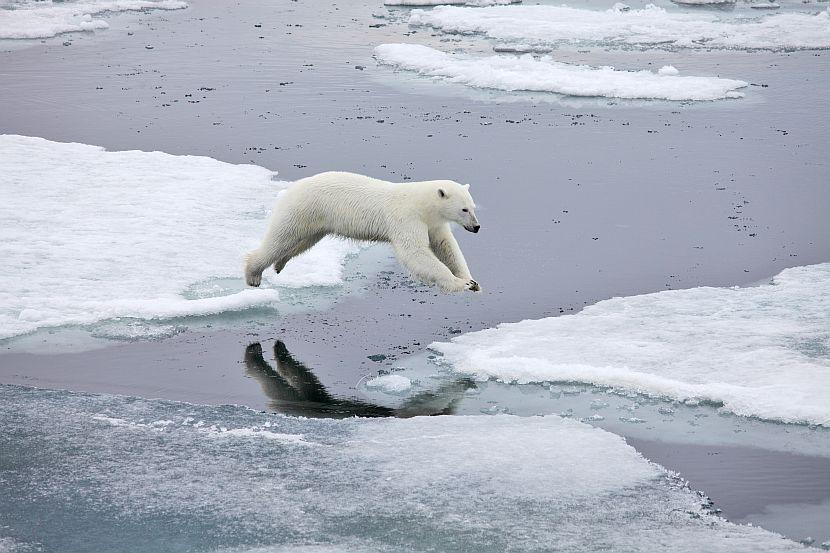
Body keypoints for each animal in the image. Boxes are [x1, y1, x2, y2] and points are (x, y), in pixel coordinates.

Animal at [245, 171, 480, 294]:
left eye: (473, 206)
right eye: (464, 209)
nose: (476, 227)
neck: (422, 204)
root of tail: (292, 187)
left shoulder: (433, 223)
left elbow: (446, 246)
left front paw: (472, 281)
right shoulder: (406, 218)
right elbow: (415, 253)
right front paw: (461, 284)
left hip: (316, 221)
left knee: (302, 242)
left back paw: (280, 263)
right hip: (302, 209)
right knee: (280, 238)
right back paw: (253, 274)